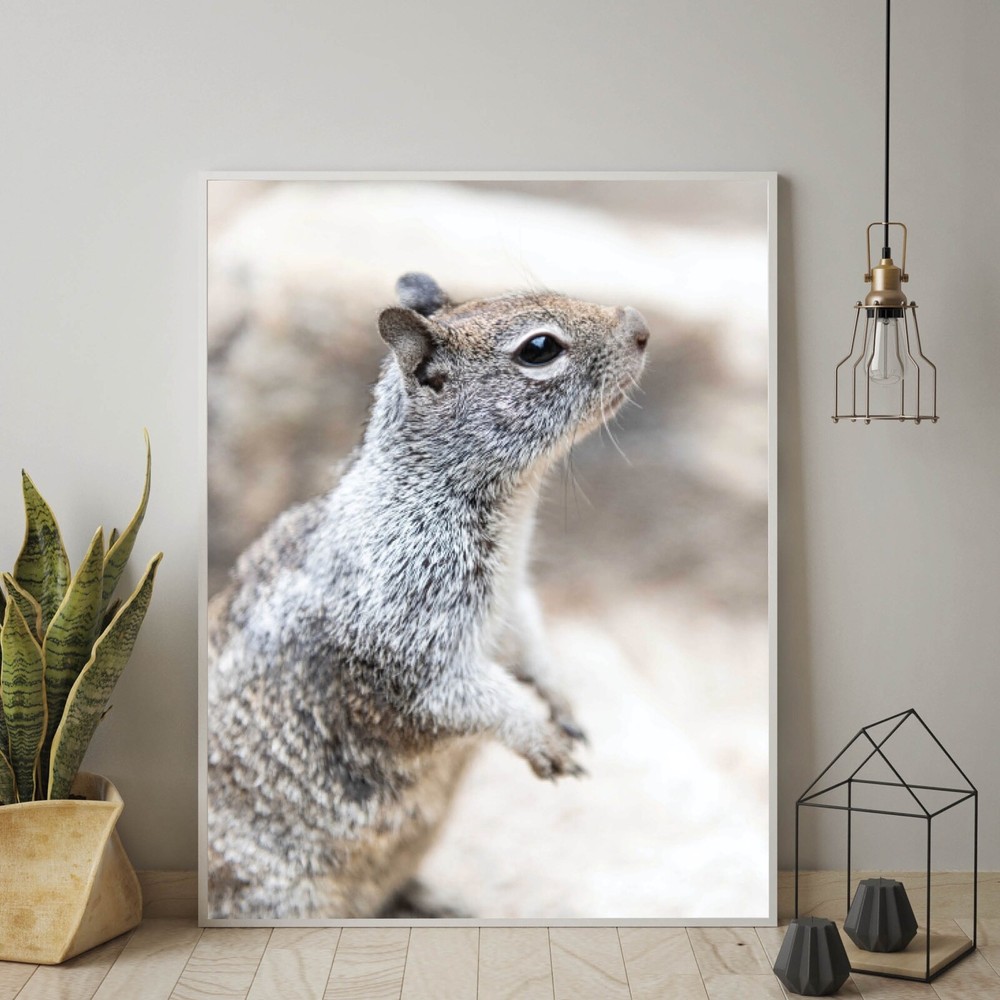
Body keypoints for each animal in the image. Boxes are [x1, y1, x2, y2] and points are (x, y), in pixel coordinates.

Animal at [207, 273, 649, 919]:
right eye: (539, 348)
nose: (640, 327)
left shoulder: (515, 604)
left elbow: (536, 651)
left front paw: (563, 705)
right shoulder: (408, 648)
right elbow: (472, 697)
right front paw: (541, 738)